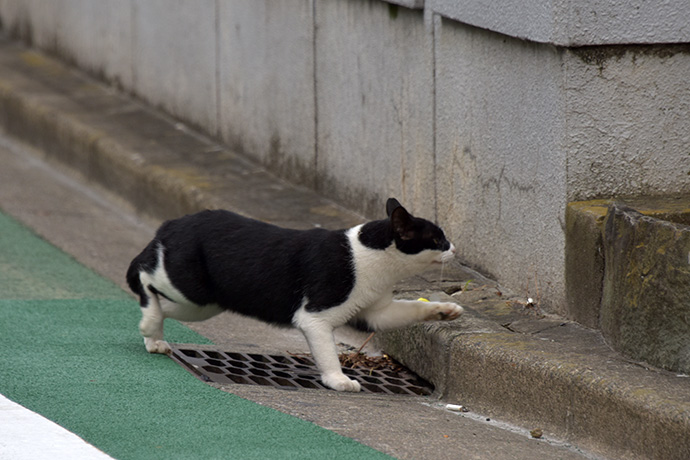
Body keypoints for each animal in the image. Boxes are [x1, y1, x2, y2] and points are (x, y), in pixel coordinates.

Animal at [129, 198, 462, 392]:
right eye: (437, 240)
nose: (455, 249)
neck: (372, 258)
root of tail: (170, 224)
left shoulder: (374, 312)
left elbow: (411, 309)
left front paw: (447, 310)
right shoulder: (315, 315)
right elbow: (328, 352)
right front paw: (338, 380)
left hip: (204, 303)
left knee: (162, 305)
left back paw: (154, 338)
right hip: (189, 286)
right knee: (142, 276)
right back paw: (148, 323)